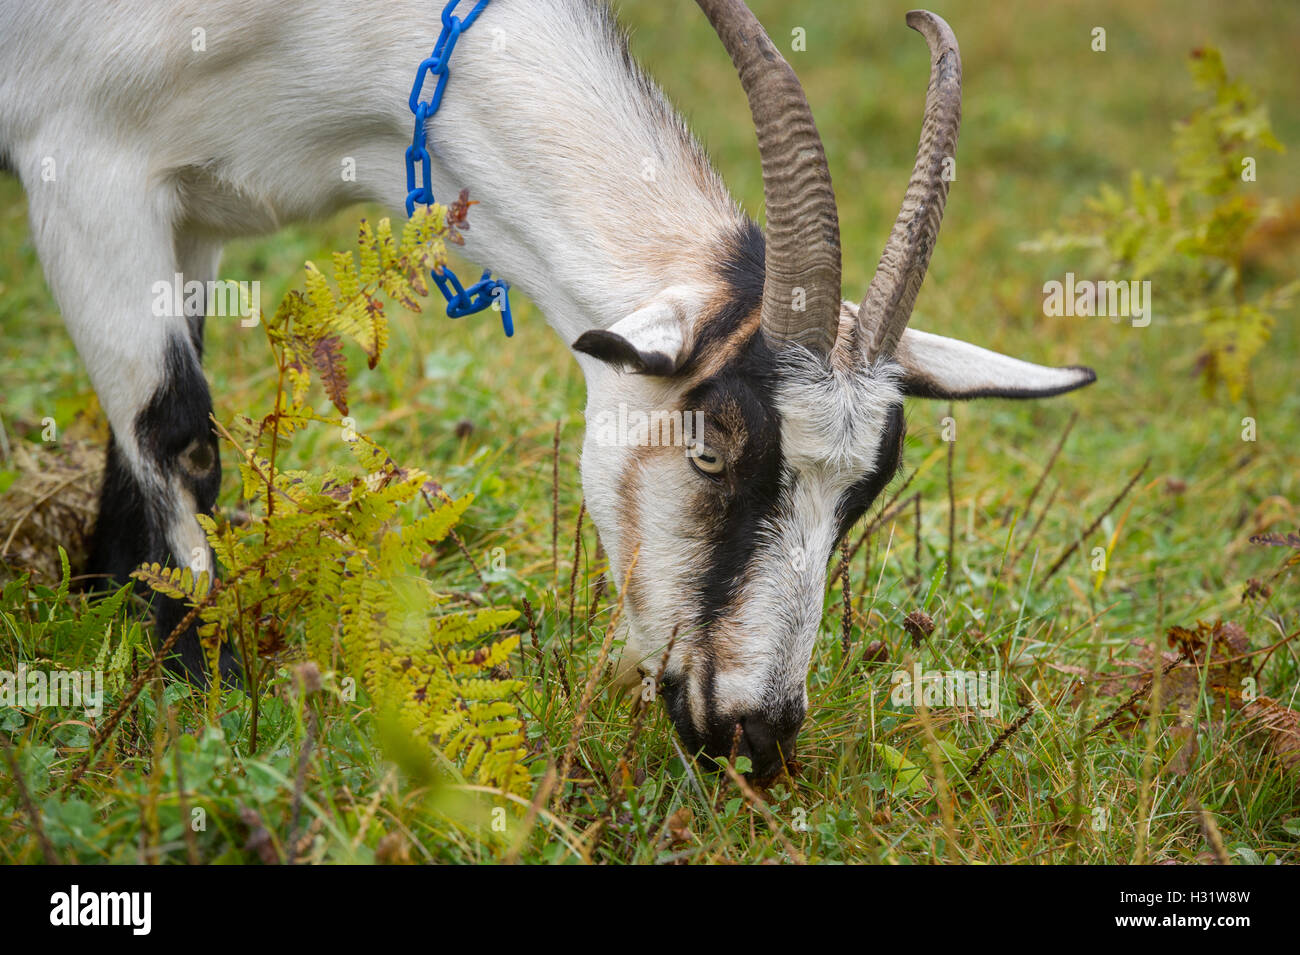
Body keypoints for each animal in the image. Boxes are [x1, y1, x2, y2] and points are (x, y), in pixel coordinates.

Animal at [0, 0, 1095, 779]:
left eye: (863, 493)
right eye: (712, 445)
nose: (757, 733)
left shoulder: (194, 219)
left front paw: (105, 609)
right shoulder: (85, 165)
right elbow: (177, 432)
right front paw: (210, 702)